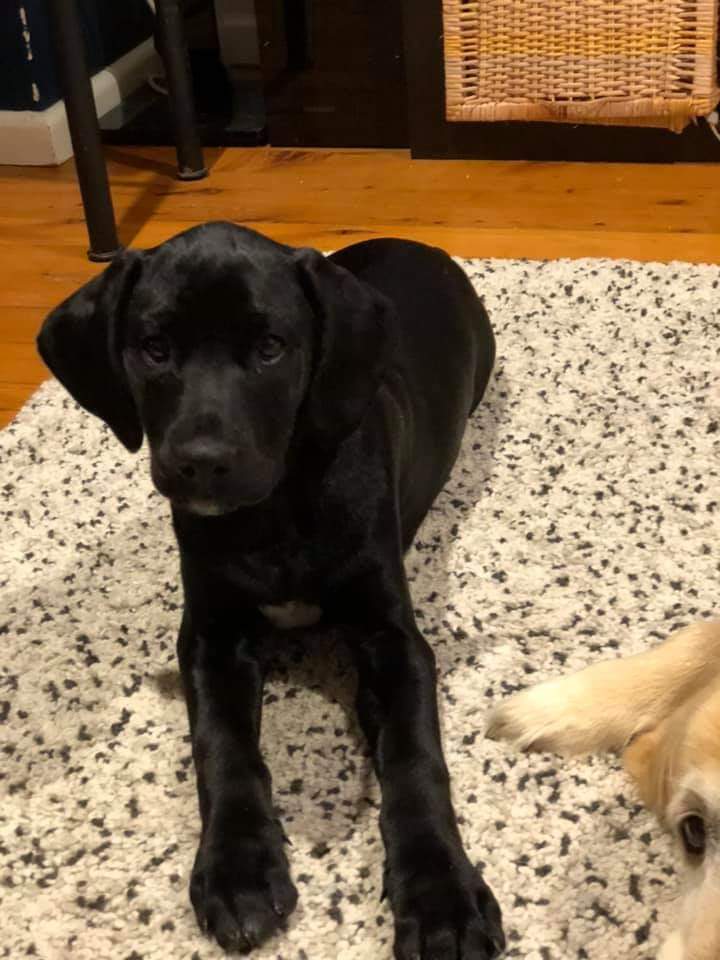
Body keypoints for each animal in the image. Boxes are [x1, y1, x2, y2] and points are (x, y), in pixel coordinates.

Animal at [37, 222, 505, 959]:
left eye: (270, 349)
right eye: (154, 348)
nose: (200, 463)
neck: (276, 512)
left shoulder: (393, 640)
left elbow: (414, 758)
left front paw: (443, 902)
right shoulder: (210, 638)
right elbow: (222, 748)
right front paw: (238, 874)